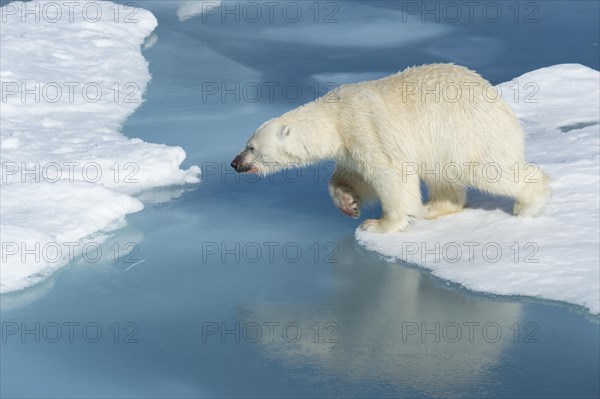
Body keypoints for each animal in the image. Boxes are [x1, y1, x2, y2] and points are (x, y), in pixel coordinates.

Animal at [232, 63, 552, 233]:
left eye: (251, 147)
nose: (235, 162)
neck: (335, 116)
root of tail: (502, 106)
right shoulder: (349, 149)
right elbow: (351, 177)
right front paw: (349, 203)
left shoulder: (364, 128)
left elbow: (391, 175)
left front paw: (378, 224)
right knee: (443, 177)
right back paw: (433, 208)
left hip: (468, 134)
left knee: (490, 172)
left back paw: (528, 203)